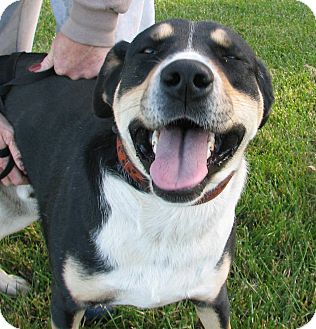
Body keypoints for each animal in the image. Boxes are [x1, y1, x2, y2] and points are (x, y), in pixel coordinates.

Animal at [0, 19, 272, 326]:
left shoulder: (213, 299)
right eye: (148, 51)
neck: (165, 215)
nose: (187, 76)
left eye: (231, 57)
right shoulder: (66, 303)